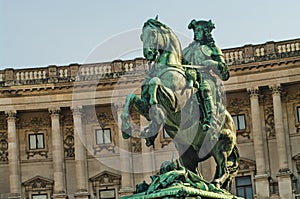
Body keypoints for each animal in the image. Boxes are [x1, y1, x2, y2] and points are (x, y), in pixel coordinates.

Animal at [119, 17, 239, 189]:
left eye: (153, 33)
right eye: (142, 36)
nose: (148, 53)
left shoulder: (177, 103)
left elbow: (156, 84)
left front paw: (156, 116)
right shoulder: (144, 106)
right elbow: (130, 97)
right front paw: (128, 126)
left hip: (221, 144)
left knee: (224, 169)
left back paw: (215, 183)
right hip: (187, 152)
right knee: (195, 173)